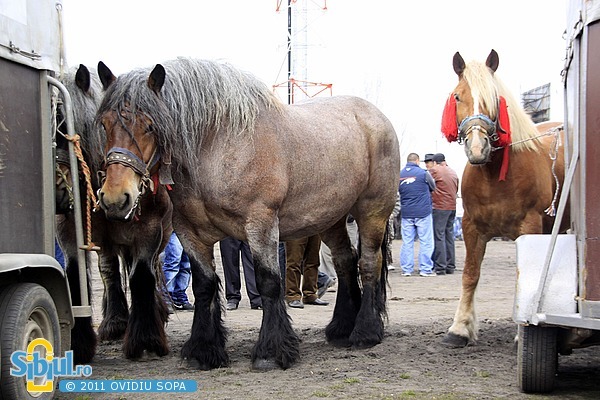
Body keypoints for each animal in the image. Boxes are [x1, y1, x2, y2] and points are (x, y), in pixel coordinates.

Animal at [55, 65, 172, 362]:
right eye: (103, 126)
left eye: (70, 128)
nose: (116, 199)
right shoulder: (71, 232)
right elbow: (77, 274)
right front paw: (80, 341)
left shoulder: (149, 230)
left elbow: (142, 276)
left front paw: (146, 338)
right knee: (109, 270)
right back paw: (115, 320)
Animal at [96, 57, 400, 370]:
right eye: (105, 124)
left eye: (149, 125)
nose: (116, 197)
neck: (218, 146)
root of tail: (375, 117)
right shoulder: (190, 232)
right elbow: (204, 285)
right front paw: (204, 349)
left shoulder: (261, 224)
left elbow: (269, 282)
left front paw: (271, 351)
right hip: (331, 218)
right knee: (345, 261)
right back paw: (341, 328)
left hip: (372, 210)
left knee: (368, 263)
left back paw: (365, 332)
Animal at [438, 50, 568, 348]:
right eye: (457, 96)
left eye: (494, 98)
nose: (477, 148)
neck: (493, 176)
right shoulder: (471, 227)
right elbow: (470, 274)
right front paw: (460, 328)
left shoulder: (529, 226)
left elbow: (524, 277)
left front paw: (523, 332)